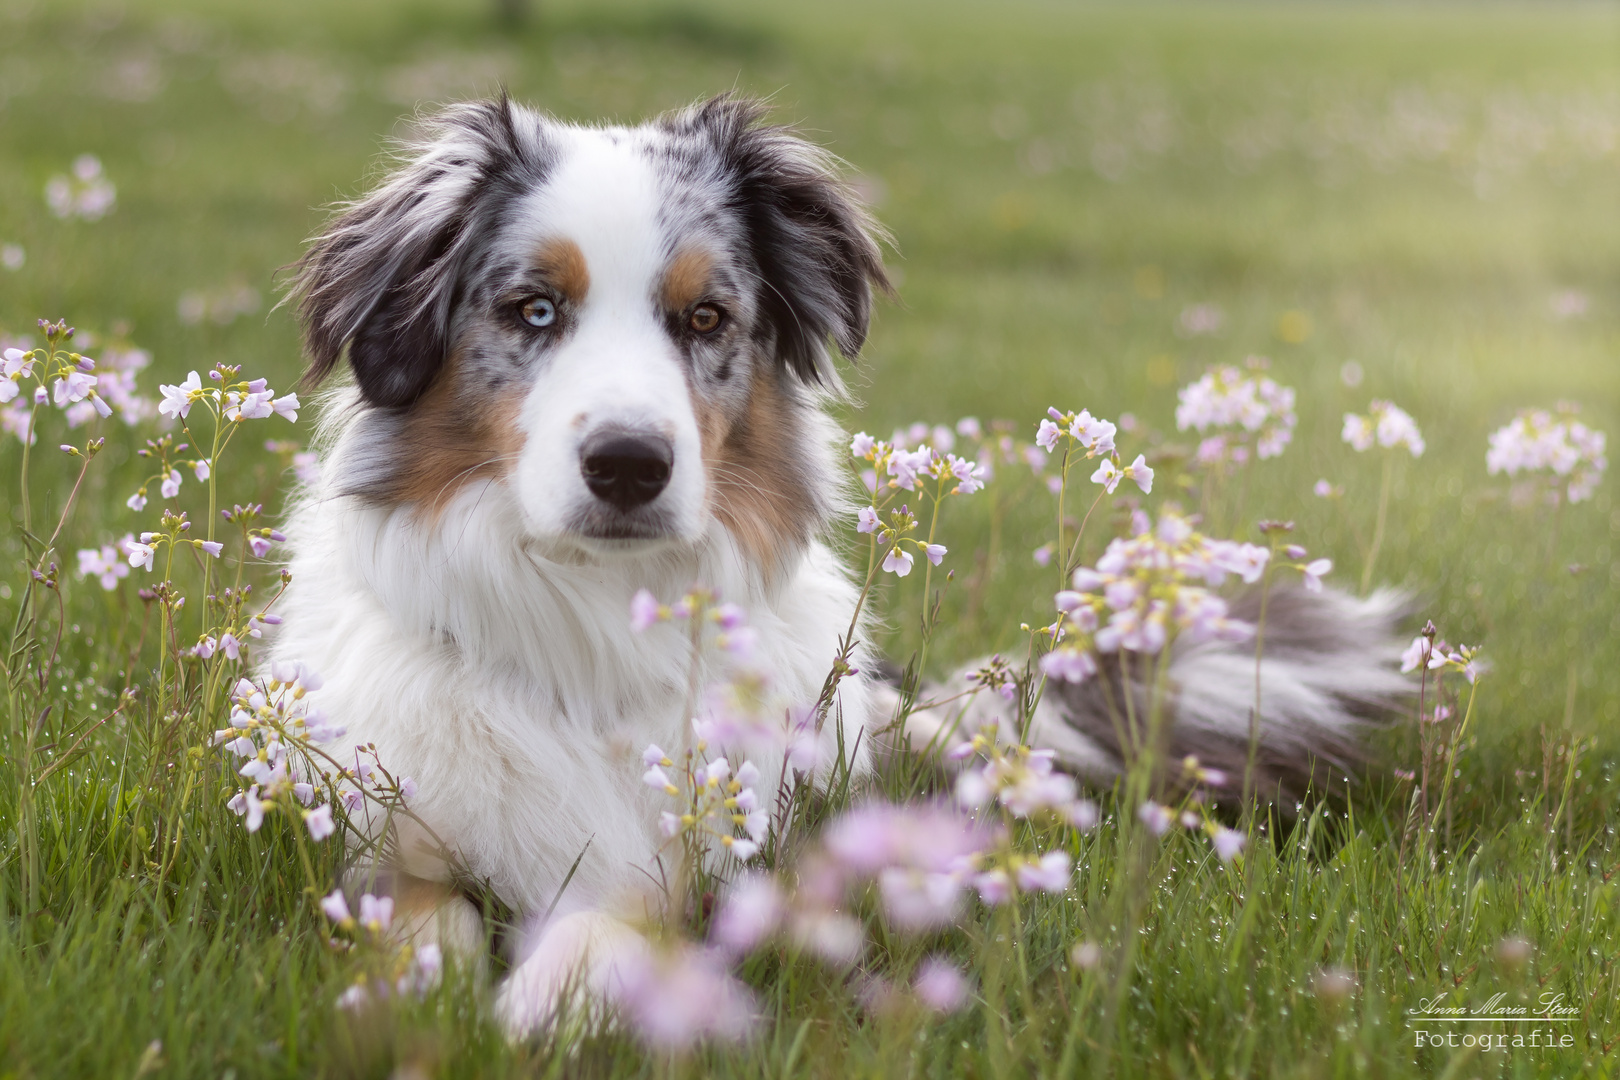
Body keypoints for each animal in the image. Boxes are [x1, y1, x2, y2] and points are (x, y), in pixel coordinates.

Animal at [268, 90, 1406, 1029]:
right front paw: (416, 996)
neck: (588, 632)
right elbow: (415, 919)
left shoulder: (708, 861)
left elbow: (622, 913)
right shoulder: (382, 836)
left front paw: (559, 993)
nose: (630, 466)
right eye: (531, 310)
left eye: (706, 317)